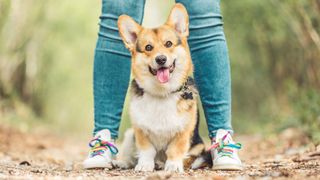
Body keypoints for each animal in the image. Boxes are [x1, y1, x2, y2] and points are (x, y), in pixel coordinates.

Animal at [114, 3, 208, 172]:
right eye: (148, 47)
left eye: (168, 44)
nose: (161, 59)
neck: (162, 93)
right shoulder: (140, 130)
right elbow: (146, 150)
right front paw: (144, 165)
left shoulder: (183, 131)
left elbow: (175, 149)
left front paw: (173, 166)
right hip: (130, 135)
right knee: (131, 155)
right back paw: (123, 162)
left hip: (198, 147)